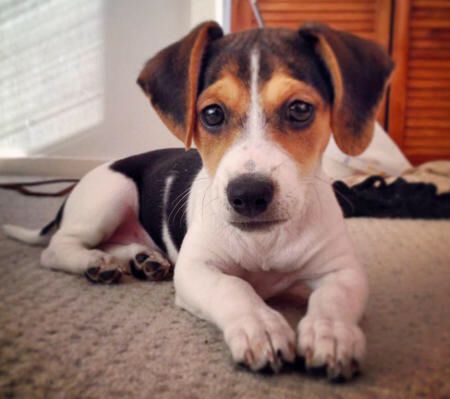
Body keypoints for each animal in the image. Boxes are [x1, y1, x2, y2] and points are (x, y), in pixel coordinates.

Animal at [5, 21, 396, 382]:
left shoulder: (343, 271)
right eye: (211, 114)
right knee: (56, 249)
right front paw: (261, 327)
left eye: (300, 109)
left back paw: (143, 259)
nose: (248, 194)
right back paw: (94, 262)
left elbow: (332, 300)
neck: (265, 242)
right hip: (110, 196)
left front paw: (332, 333)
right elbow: (234, 287)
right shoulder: (196, 269)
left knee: (117, 243)